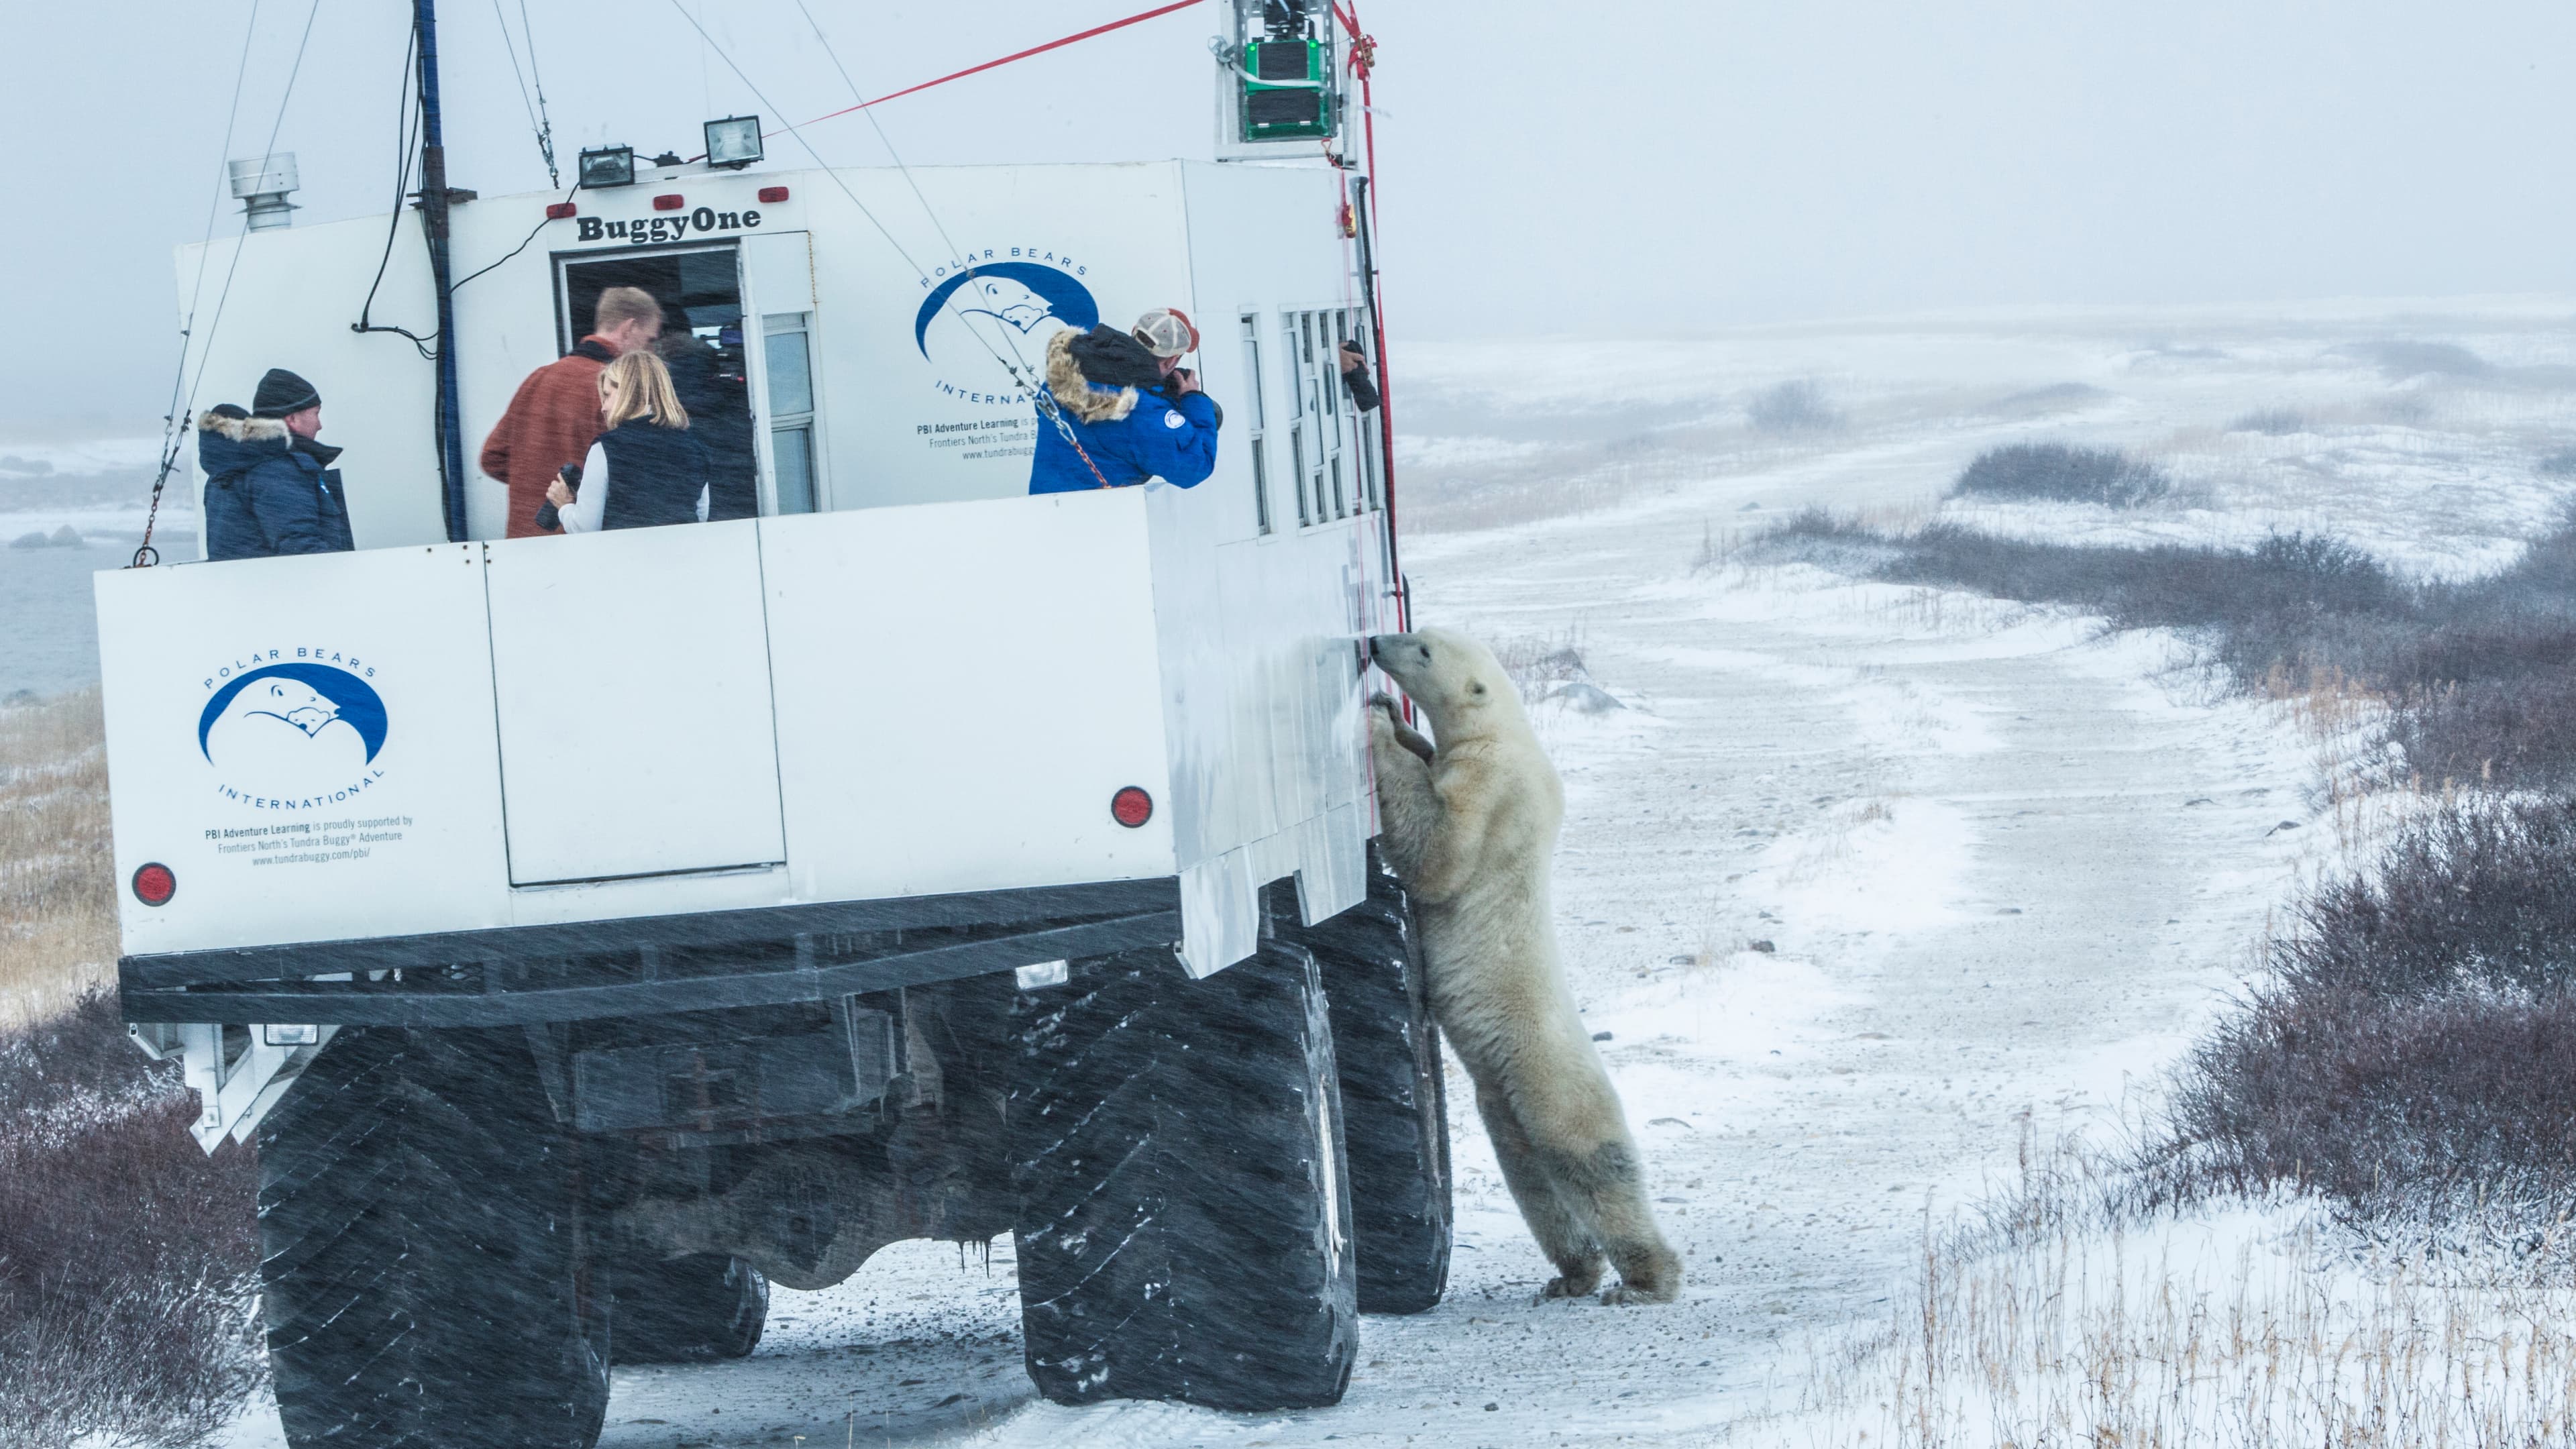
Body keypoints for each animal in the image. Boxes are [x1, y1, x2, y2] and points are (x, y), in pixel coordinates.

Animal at [1365, 627, 1684, 1305]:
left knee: (1589, 1160)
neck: (1506, 731)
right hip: (1503, 1092)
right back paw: (1573, 1274)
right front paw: (1400, 724)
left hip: (1546, 1070)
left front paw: (1378, 726)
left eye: (1424, 650)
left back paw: (1646, 1280)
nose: (1376, 641)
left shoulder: (1488, 783)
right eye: (1416, 634)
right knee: (1529, 1171)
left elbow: (1439, 853)